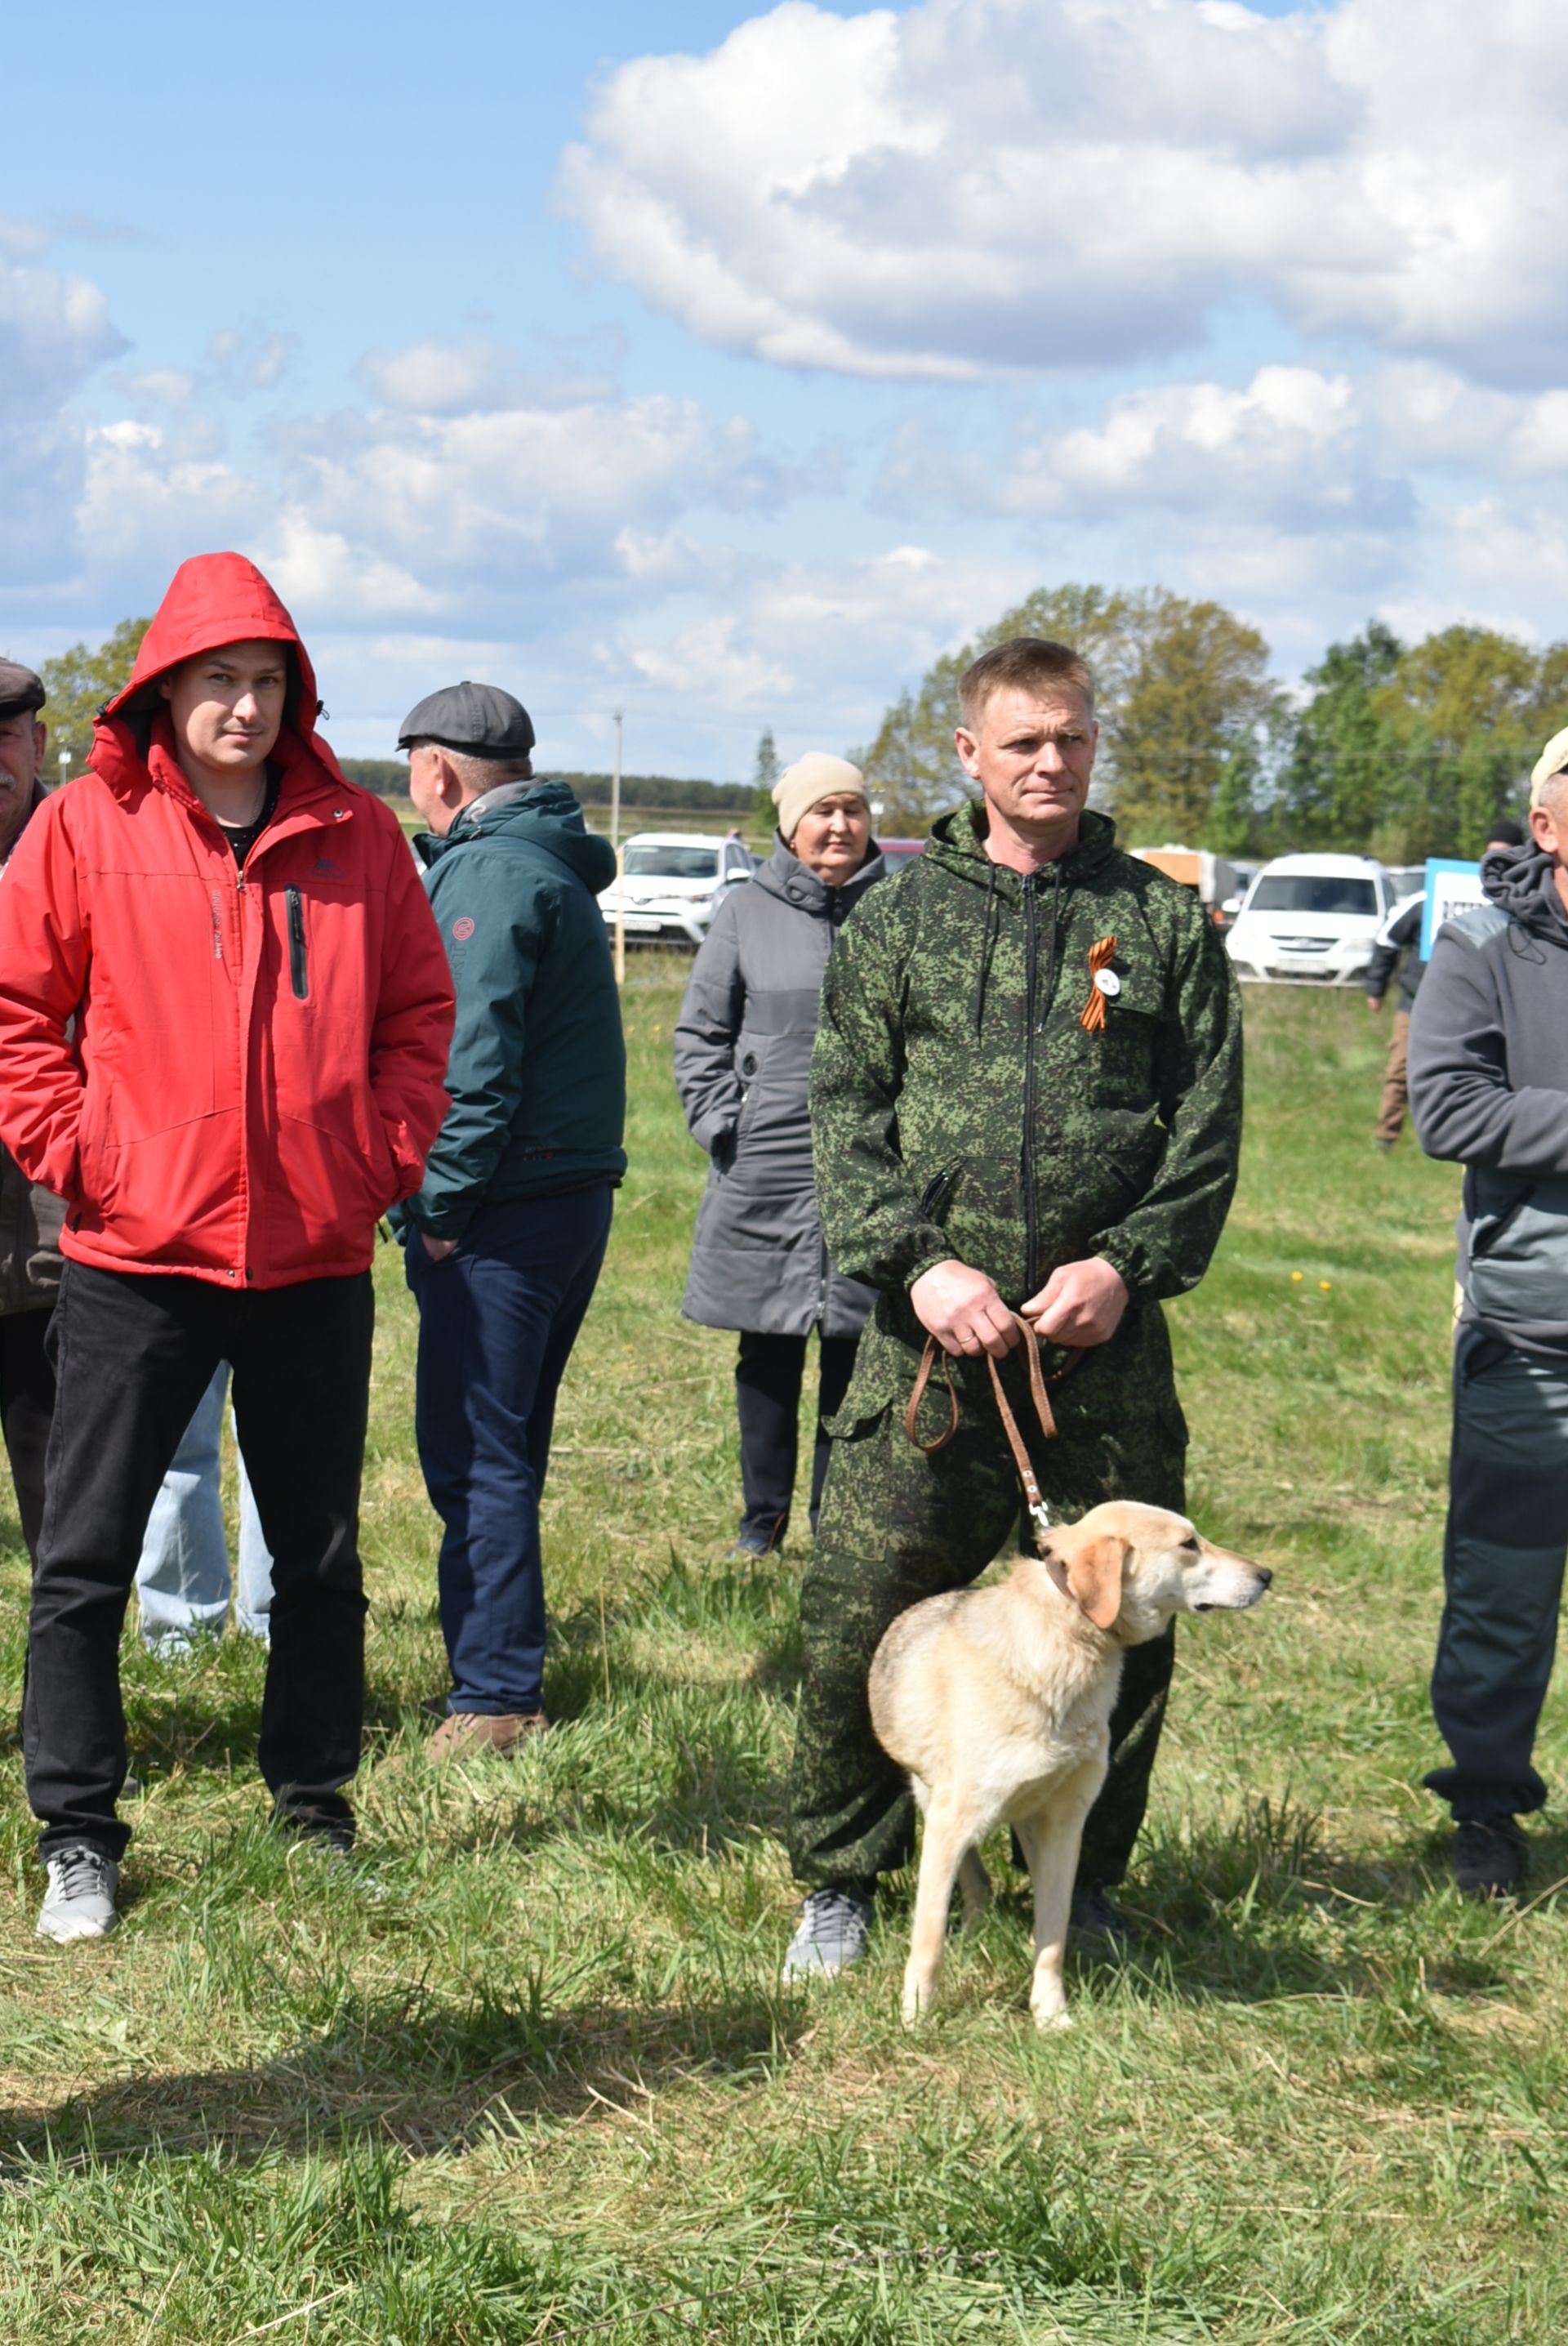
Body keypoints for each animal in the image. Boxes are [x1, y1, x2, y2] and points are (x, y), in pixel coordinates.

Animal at [866, 1501, 1275, 2036]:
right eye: (1189, 1544)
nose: (1267, 1575)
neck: (1069, 1640)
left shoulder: (1064, 1824)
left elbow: (1053, 1935)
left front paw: (1049, 2013)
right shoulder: (953, 1821)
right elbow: (929, 1940)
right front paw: (916, 2017)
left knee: (986, 1881)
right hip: (937, 1804)